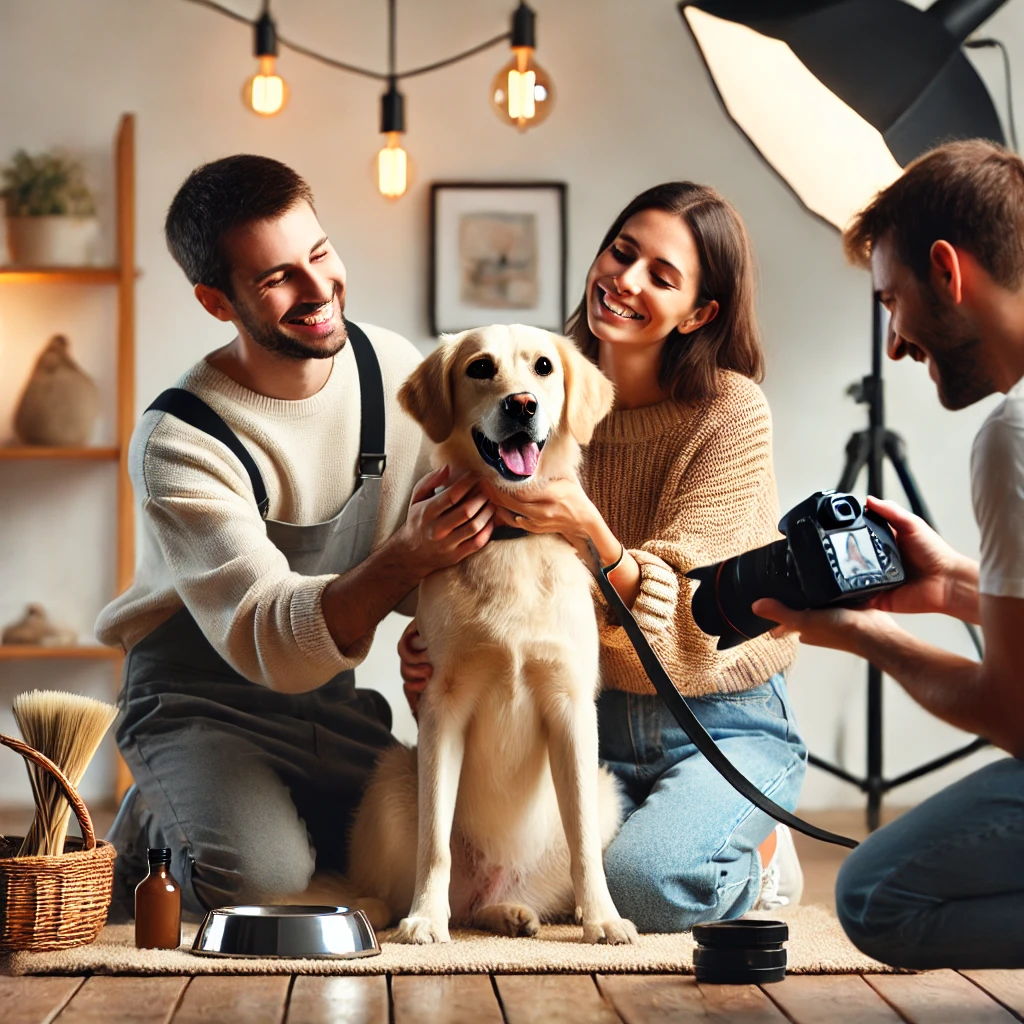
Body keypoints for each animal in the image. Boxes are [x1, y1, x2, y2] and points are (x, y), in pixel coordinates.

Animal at [348, 325, 634, 942]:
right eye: (480, 367)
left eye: (544, 367)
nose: (521, 404)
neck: (509, 540)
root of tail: (488, 883)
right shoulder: (442, 705)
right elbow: (434, 842)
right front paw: (425, 919)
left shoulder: (571, 709)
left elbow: (582, 844)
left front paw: (602, 919)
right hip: (391, 777)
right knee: (404, 889)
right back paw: (394, 910)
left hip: (605, 789)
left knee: (498, 897)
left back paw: (513, 912)